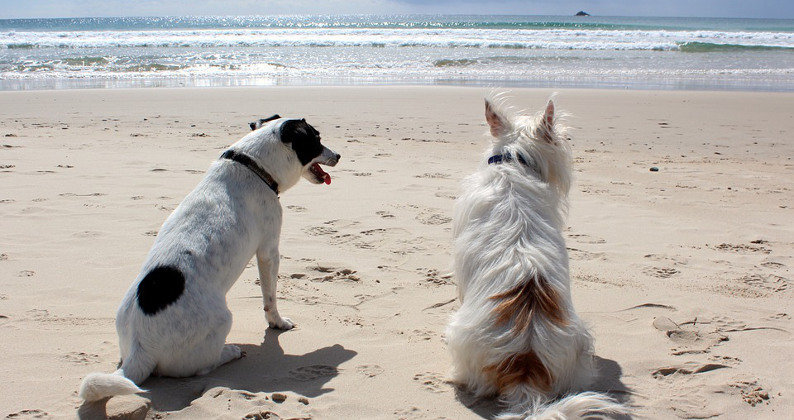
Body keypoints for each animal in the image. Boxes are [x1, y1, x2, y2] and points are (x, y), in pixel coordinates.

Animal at [79, 115, 338, 404]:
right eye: (316, 139)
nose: (338, 156)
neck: (252, 165)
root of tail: (140, 349)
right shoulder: (269, 251)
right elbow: (270, 299)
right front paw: (278, 323)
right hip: (223, 320)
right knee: (202, 366)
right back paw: (230, 352)